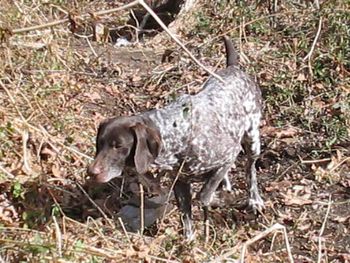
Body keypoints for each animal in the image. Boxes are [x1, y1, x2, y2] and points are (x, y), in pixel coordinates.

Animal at [88, 36, 266, 240]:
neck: (173, 133)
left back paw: (254, 200)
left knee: (250, 169)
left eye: (118, 146)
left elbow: (203, 196)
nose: (91, 172)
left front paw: (217, 200)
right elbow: (186, 218)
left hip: (252, 140)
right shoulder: (180, 183)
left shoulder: (229, 154)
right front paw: (188, 242)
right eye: (99, 144)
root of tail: (233, 68)